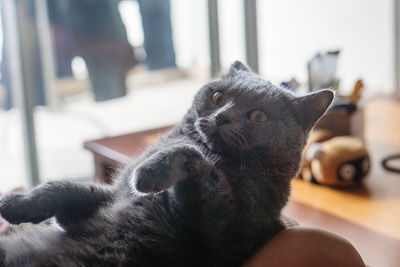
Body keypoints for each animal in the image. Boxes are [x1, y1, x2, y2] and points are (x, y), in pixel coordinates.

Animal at [0, 61, 332, 267]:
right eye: (218, 96)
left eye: (259, 116)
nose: (222, 116)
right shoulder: (108, 198)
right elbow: (65, 189)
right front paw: (15, 204)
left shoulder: (213, 235)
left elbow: (194, 158)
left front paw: (148, 173)